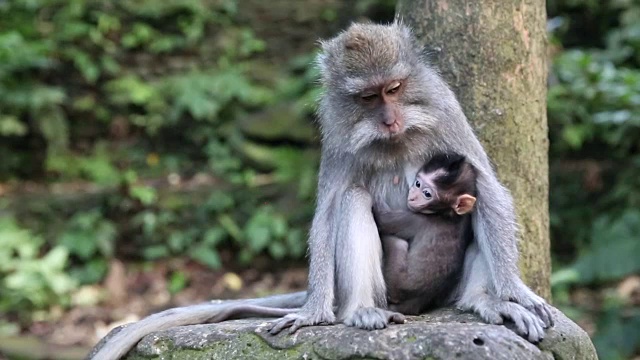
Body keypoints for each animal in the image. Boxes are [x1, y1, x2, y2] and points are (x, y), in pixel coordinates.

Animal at [376, 153, 476, 314]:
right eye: (417, 183)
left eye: (427, 194)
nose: (412, 196)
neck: (446, 213)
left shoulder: (417, 220)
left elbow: (382, 219)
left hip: (396, 282)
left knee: (397, 243)